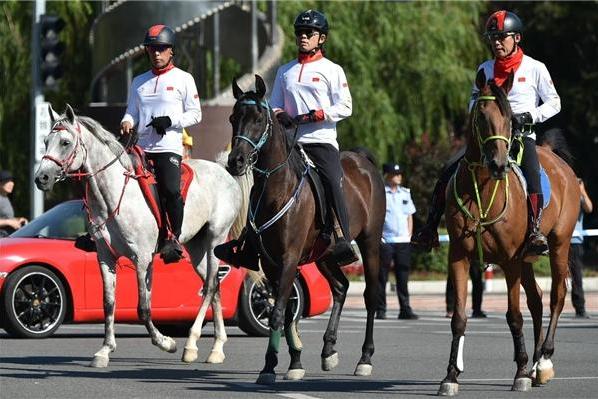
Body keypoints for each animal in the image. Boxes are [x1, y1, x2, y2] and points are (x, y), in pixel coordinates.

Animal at [35, 104, 251, 368]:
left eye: (65, 142)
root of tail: (224, 170)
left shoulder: (142, 258)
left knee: (210, 285)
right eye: (46, 141)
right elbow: (109, 303)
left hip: (215, 239)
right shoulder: (105, 257)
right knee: (215, 286)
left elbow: (143, 308)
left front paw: (165, 342)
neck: (114, 195)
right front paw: (105, 350)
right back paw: (217, 348)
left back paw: (190, 344)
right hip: (196, 247)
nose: (41, 178)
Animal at [227, 75, 386, 384]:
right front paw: (295, 362)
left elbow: (278, 313)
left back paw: (365, 358)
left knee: (371, 295)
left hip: (370, 242)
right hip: (324, 254)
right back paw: (328, 350)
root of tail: (362, 160)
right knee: (340, 287)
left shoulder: (289, 258)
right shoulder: (271, 262)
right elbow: (287, 311)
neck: (277, 188)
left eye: (258, 118)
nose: (235, 161)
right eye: (232, 118)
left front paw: (270, 366)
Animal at [440, 69, 580, 396]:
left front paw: (519, 373)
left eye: (509, 119)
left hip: (559, 244)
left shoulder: (509, 260)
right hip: (527, 258)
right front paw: (451, 376)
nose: (498, 164)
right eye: (481, 115)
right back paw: (535, 366)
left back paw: (543, 361)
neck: (481, 190)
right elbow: (459, 318)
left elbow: (514, 316)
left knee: (556, 296)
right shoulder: (458, 256)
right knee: (537, 299)